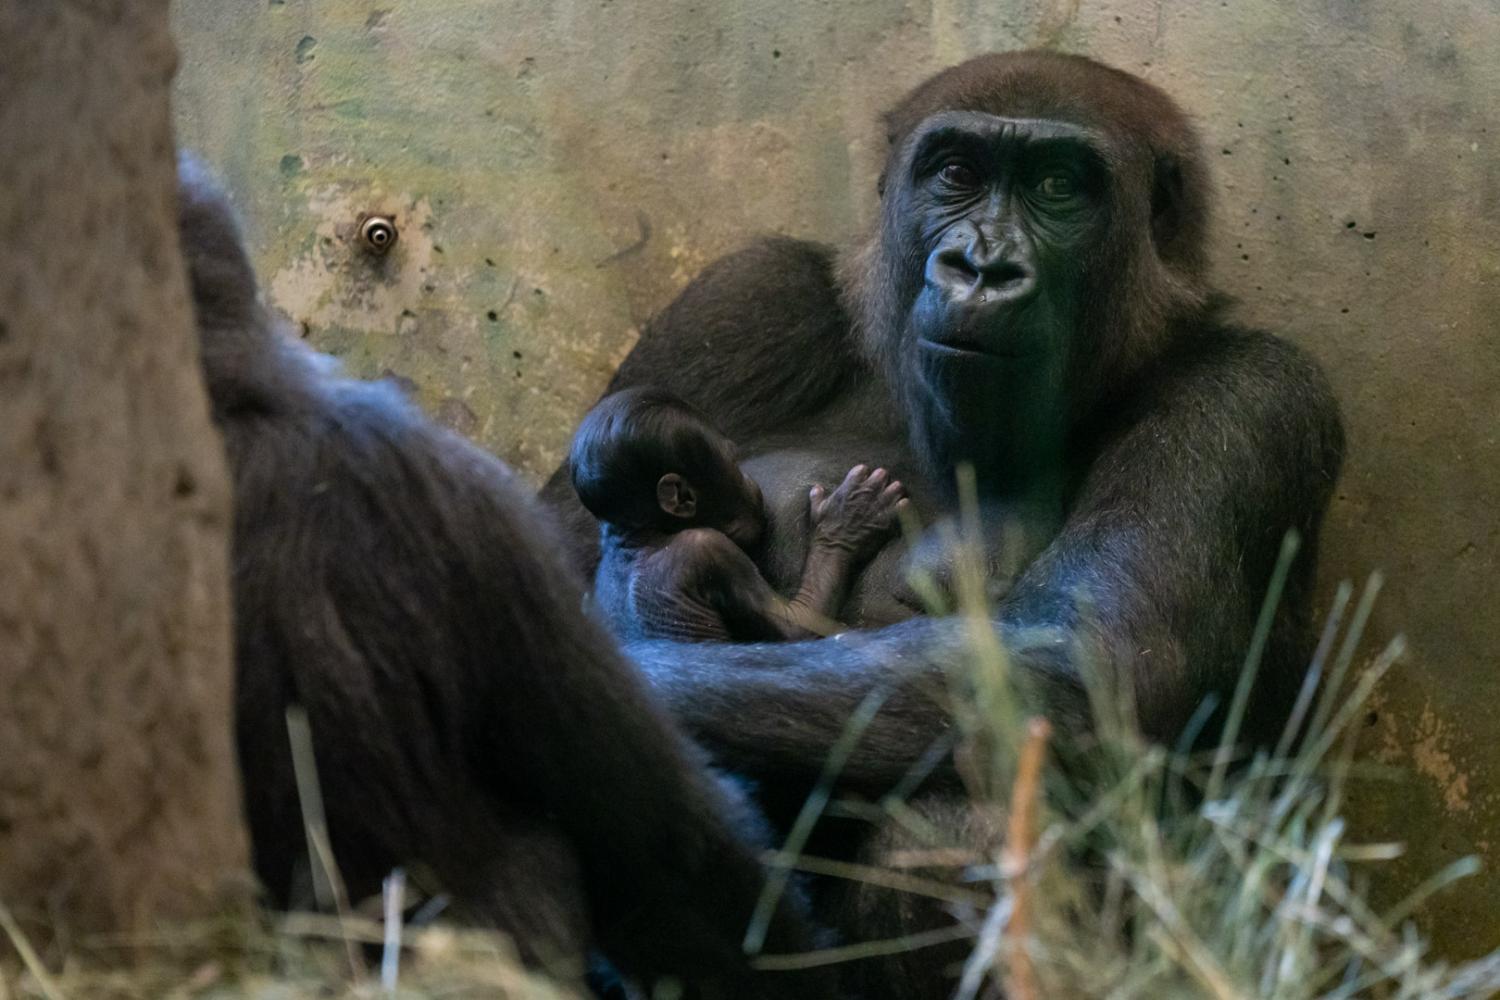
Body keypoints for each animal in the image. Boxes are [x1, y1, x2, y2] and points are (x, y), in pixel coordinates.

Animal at [570, 386, 900, 638]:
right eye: (732, 462)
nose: (749, 480)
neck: (639, 535)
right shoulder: (710, 550)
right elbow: (796, 625)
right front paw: (845, 524)